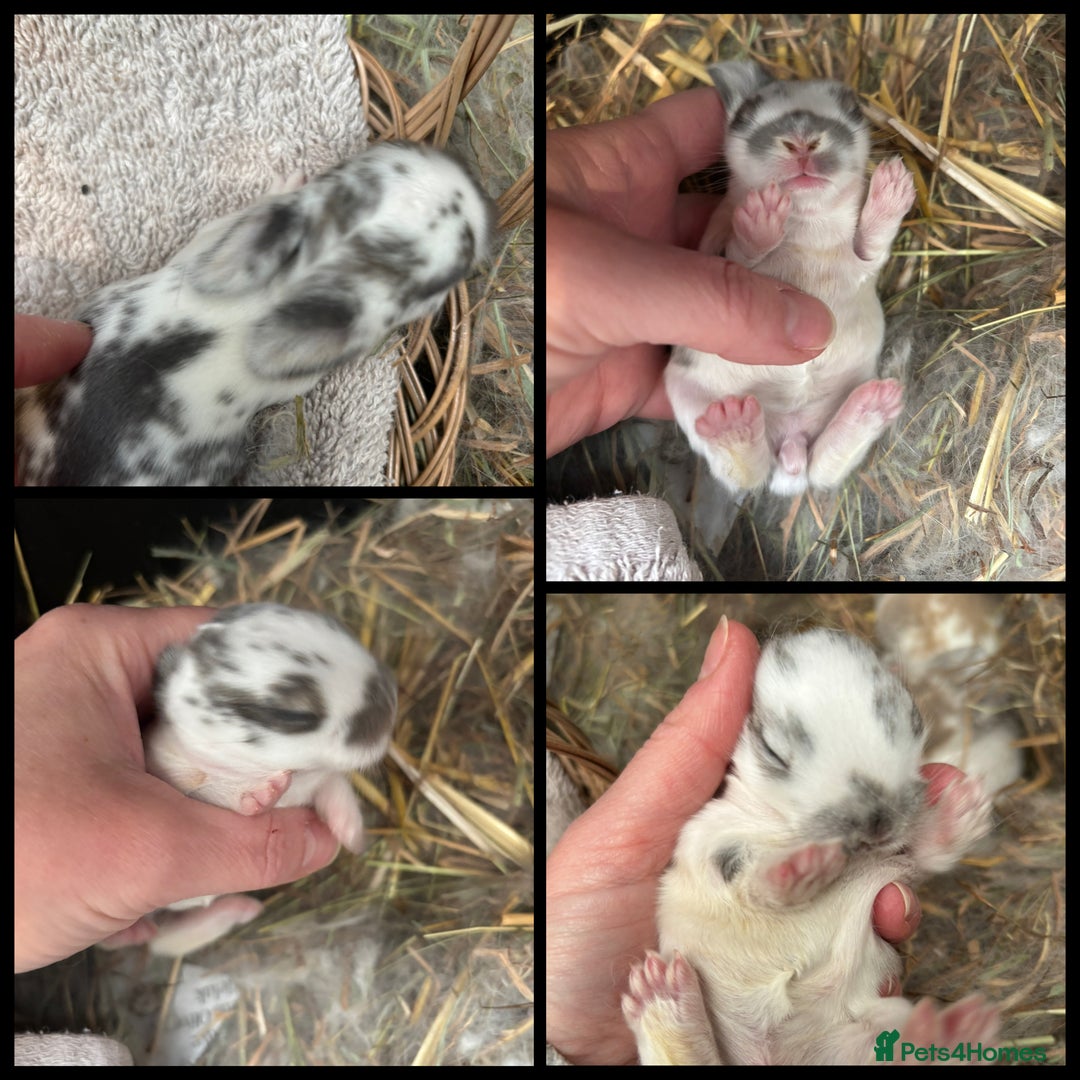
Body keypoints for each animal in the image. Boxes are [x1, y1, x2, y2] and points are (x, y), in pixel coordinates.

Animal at [622, 628, 999, 1064]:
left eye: (912, 716)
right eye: (771, 750)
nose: (878, 825)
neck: (786, 830)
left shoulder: (892, 859)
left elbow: (925, 851)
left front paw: (963, 808)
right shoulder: (707, 847)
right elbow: (753, 884)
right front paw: (803, 868)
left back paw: (953, 1027)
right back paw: (661, 998)